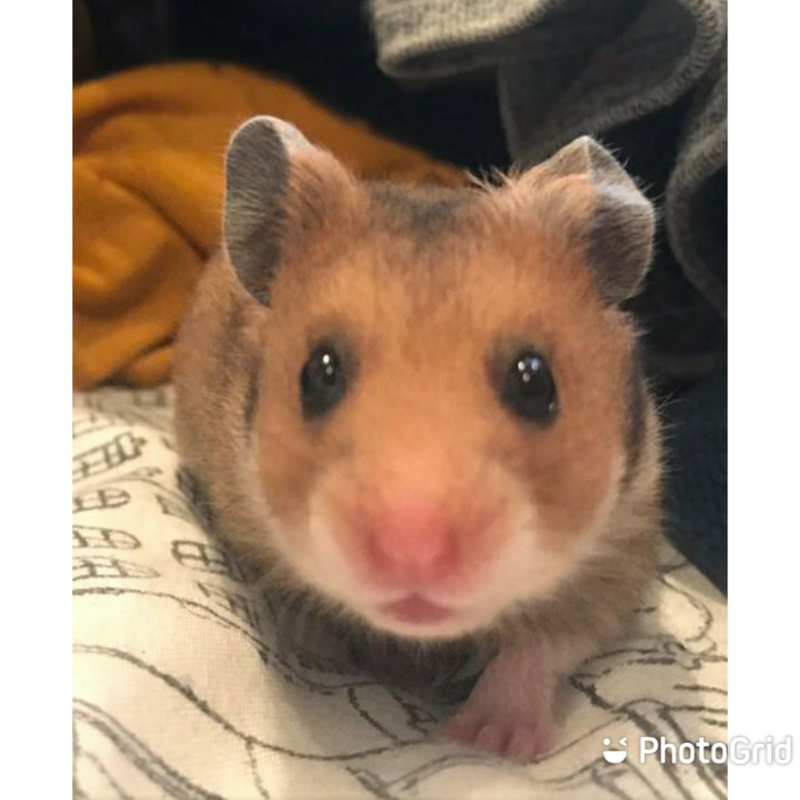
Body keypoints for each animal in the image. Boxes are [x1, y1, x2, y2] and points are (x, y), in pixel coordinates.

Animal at [172, 116, 663, 763]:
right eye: (318, 374)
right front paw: (323, 648)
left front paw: (492, 743)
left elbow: (540, 643)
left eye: (536, 381)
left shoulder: (622, 553)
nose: (414, 554)